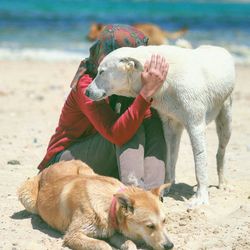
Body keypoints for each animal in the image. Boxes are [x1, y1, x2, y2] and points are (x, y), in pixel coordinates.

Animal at [18, 160, 174, 250]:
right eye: (150, 226)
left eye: (164, 221)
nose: (170, 246)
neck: (109, 207)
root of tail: (52, 165)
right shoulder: (73, 235)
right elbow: (103, 245)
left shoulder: (113, 233)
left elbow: (130, 244)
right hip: (25, 196)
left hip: (87, 169)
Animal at [85, 44, 234, 205]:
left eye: (102, 72)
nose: (86, 92)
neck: (167, 79)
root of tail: (219, 48)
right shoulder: (169, 126)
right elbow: (169, 160)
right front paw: (165, 188)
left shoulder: (196, 126)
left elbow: (200, 164)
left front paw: (200, 198)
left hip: (226, 121)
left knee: (221, 152)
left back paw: (223, 183)